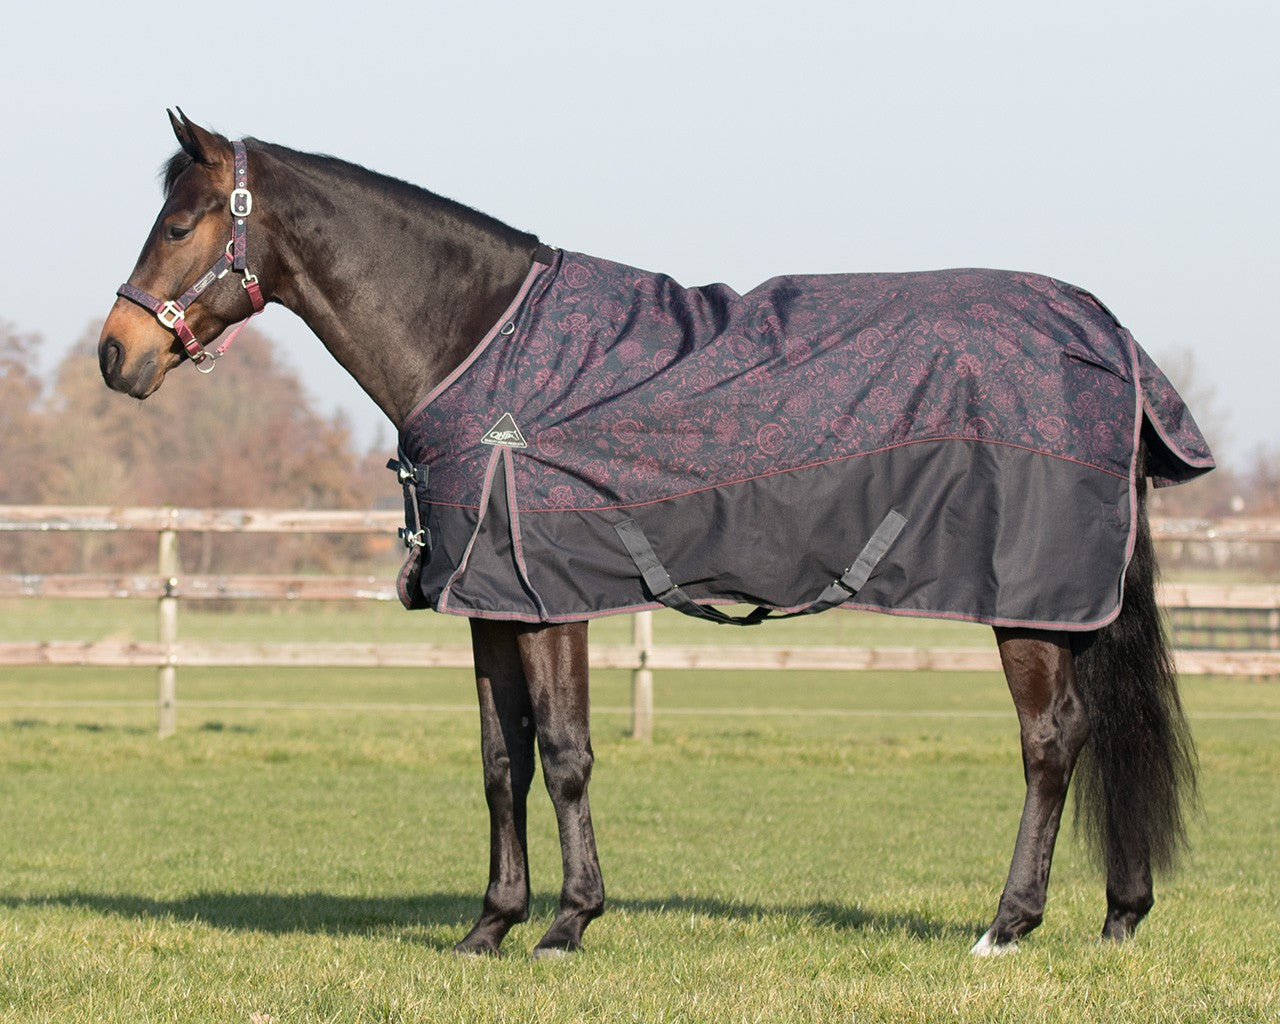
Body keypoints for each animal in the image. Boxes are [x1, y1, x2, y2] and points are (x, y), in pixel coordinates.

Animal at [99, 110, 1205, 959]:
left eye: (182, 222)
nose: (116, 355)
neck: (481, 344)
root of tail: (1106, 335)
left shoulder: (550, 602)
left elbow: (563, 754)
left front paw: (566, 925)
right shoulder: (491, 606)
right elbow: (500, 761)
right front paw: (488, 926)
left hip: (1029, 602)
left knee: (1049, 742)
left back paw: (1005, 927)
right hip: (1065, 607)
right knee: (1094, 730)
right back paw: (1118, 915)